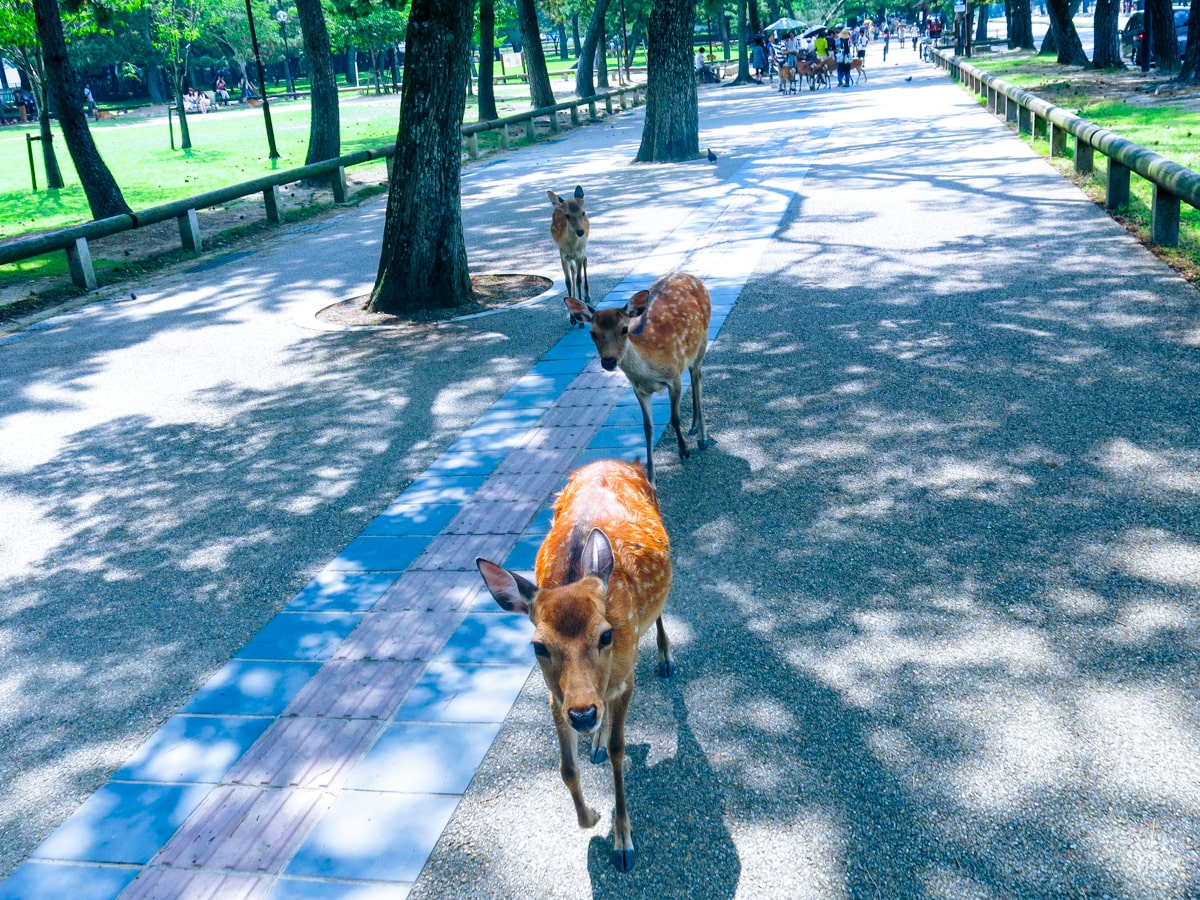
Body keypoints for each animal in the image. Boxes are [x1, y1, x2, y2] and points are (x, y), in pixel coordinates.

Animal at [476, 459, 673, 873]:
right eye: (538, 646)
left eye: (606, 635)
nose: (583, 714)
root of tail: (622, 461)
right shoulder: (556, 695)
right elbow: (566, 767)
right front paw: (592, 817)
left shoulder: (625, 676)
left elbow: (619, 750)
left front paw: (623, 842)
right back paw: (594, 739)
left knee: (661, 614)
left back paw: (665, 657)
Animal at [549, 185, 591, 326]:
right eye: (567, 215)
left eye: (582, 213)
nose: (580, 231)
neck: (572, 245)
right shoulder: (563, 255)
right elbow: (568, 282)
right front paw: (572, 318)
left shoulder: (579, 254)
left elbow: (578, 280)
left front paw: (581, 321)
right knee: (572, 271)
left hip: (584, 248)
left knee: (585, 261)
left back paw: (587, 296)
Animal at [565, 272, 711, 489]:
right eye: (592, 333)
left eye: (624, 329)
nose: (608, 361)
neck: (649, 370)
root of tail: (691, 276)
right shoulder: (639, 389)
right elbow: (647, 428)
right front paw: (651, 478)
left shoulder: (674, 376)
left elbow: (674, 418)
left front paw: (684, 452)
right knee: (695, 379)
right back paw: (693, 427)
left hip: (702, 341)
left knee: (697, 379)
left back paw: (702, 437)